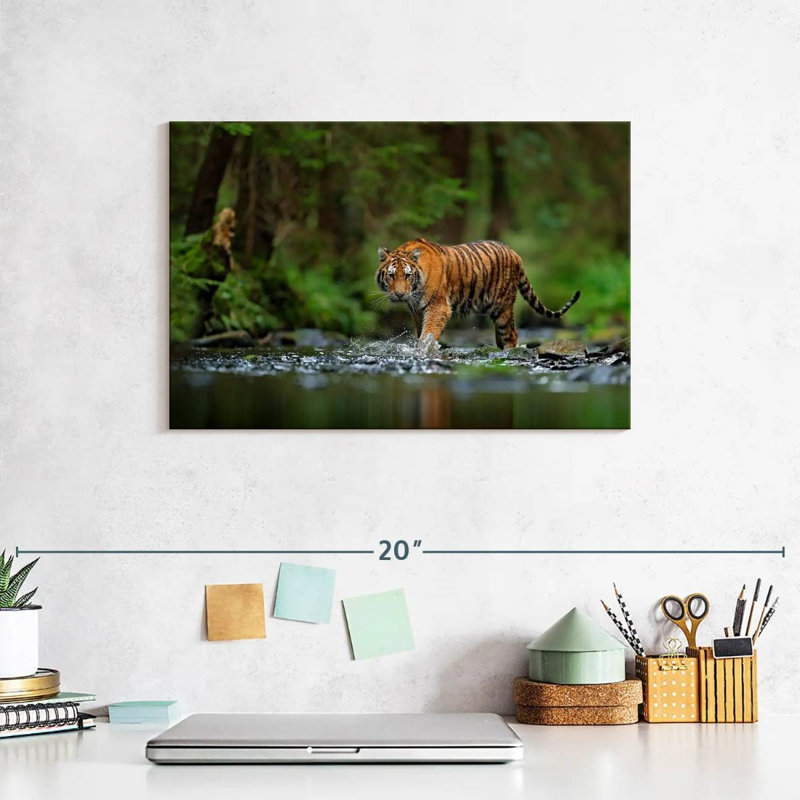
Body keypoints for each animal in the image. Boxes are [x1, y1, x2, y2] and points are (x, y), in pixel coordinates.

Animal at [375, 238, 580, 349]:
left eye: (407, 275)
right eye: (391, 275)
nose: (400, 294)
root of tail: (514, 253)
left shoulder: (438, 307)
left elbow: (428, 334)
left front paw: (424, 351)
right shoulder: (417, 310)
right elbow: (421, 333)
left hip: (502, 307)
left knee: (512, 334)